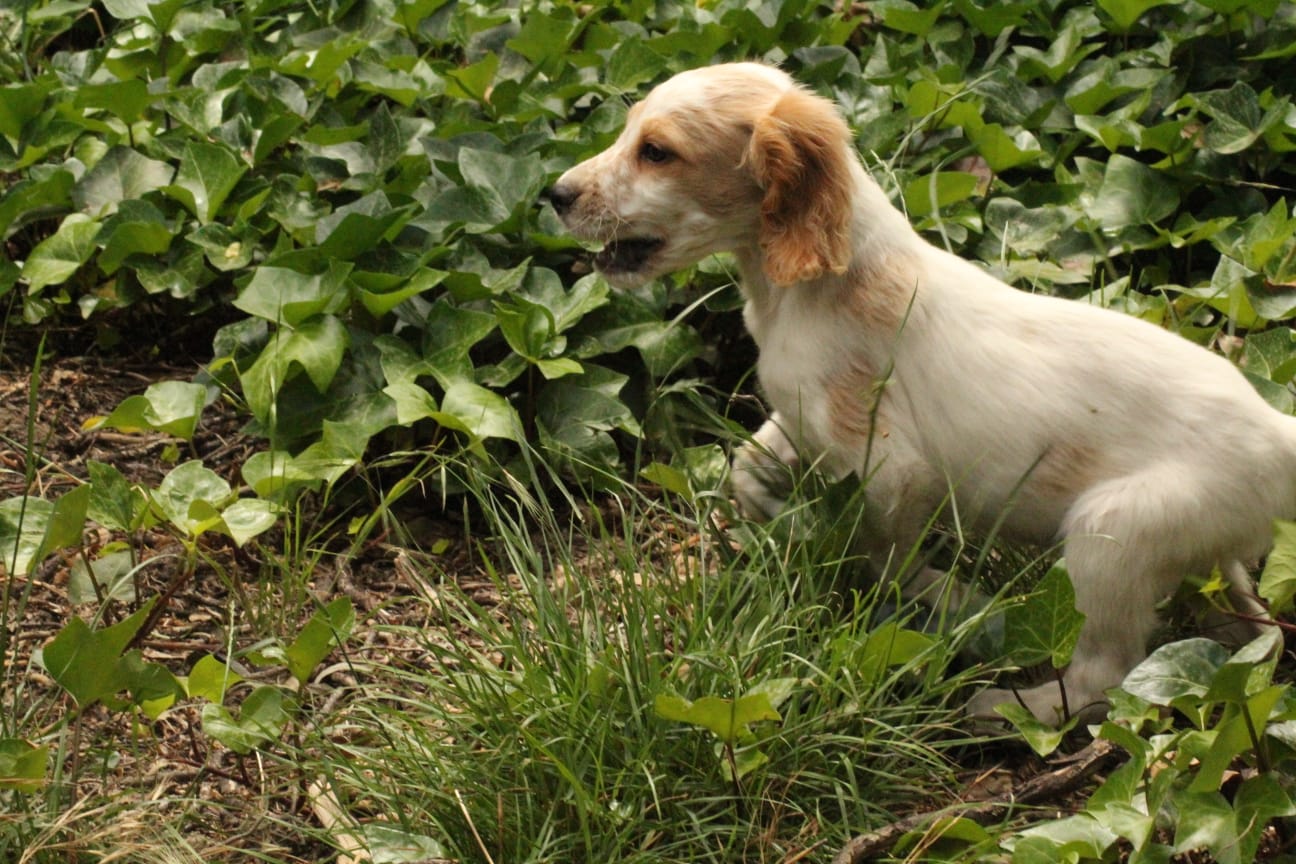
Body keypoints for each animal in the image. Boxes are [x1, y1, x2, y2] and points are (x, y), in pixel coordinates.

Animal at [547, 62, 1286, 724]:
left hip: (1112, 535)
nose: (553, 194)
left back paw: (1013, 705)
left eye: (656, 152)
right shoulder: (802, 416)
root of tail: (1280, 436)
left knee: (1103, 673)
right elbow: (746, 468)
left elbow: (887, 559)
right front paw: (779, 520)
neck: (803, 290)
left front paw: (960, 605)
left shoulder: (891, 469)